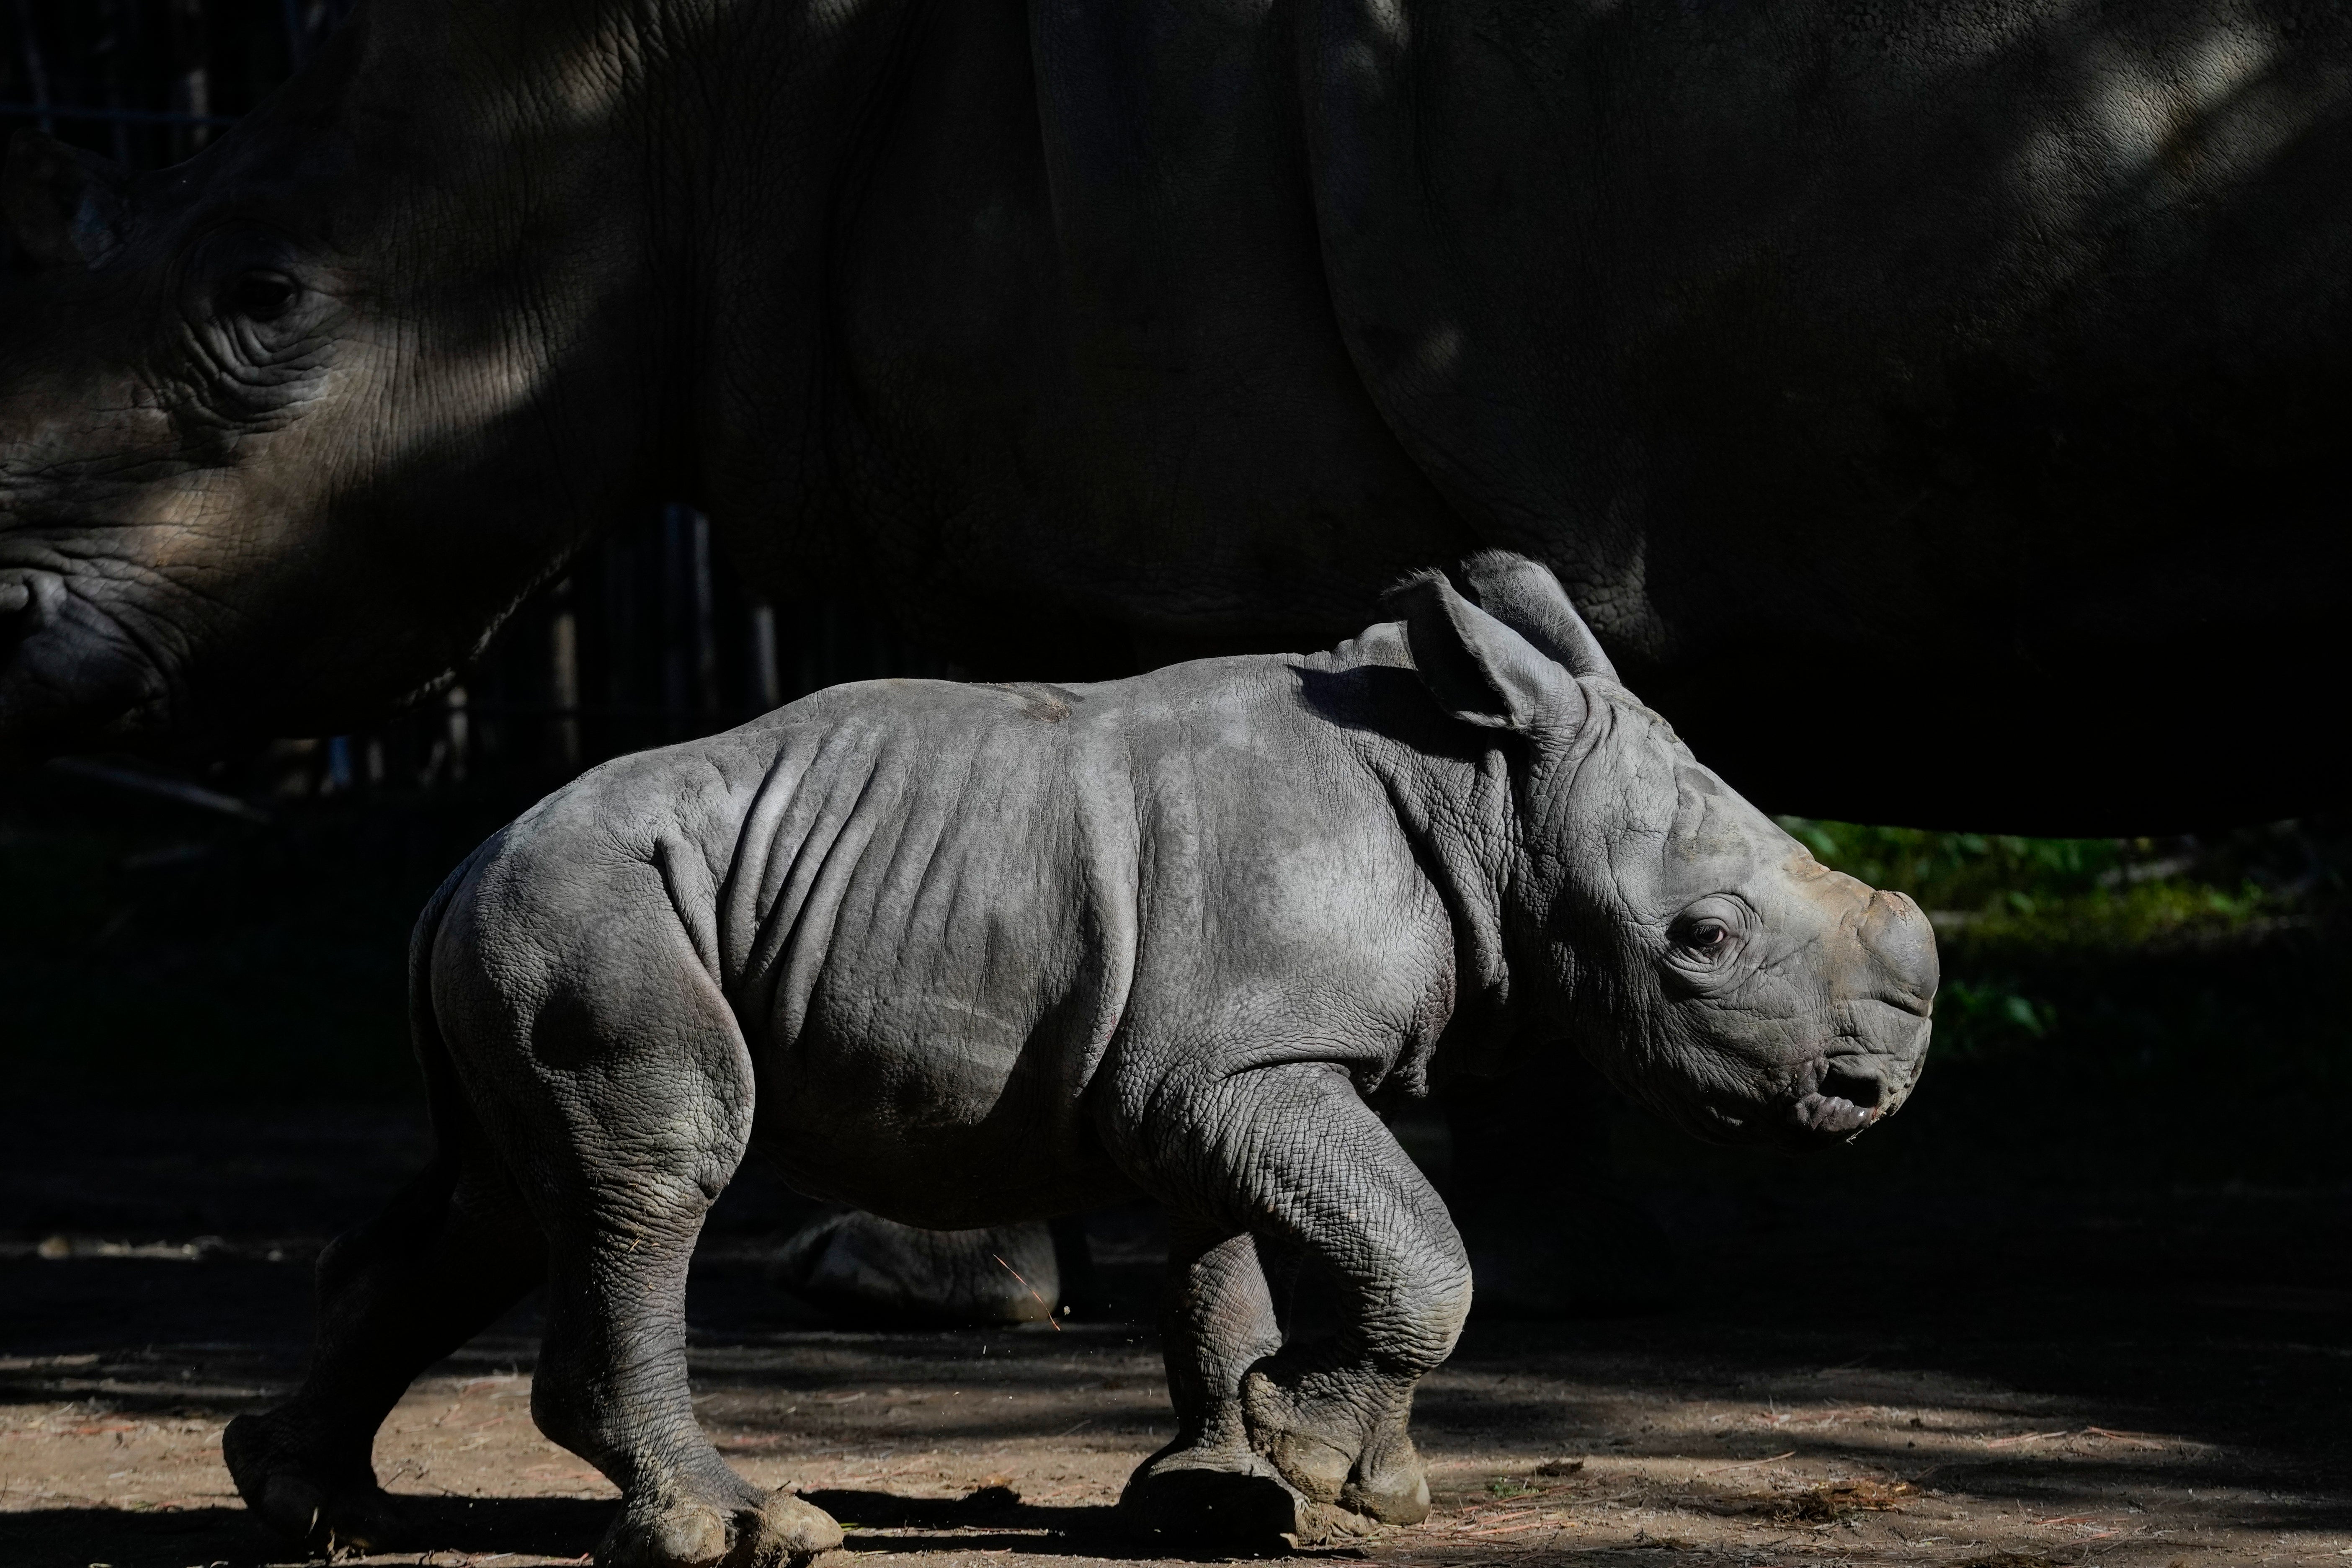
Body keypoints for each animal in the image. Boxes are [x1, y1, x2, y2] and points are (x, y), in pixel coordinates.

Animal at [220, 557, 1937, 1565]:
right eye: (1700, 941)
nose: (1873, 1096)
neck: (1482, 796)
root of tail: (459, 862)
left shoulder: (1208, 1063)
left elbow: (1228, 1266)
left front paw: (1271, 1489)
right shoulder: (1235, 1067)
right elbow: (1417, 1247)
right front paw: (1315, 1458)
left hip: (542, 919)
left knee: (506, 1203)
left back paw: (312, 1500)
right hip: (594, 912)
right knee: (650, 1173)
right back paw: (750, 1531)